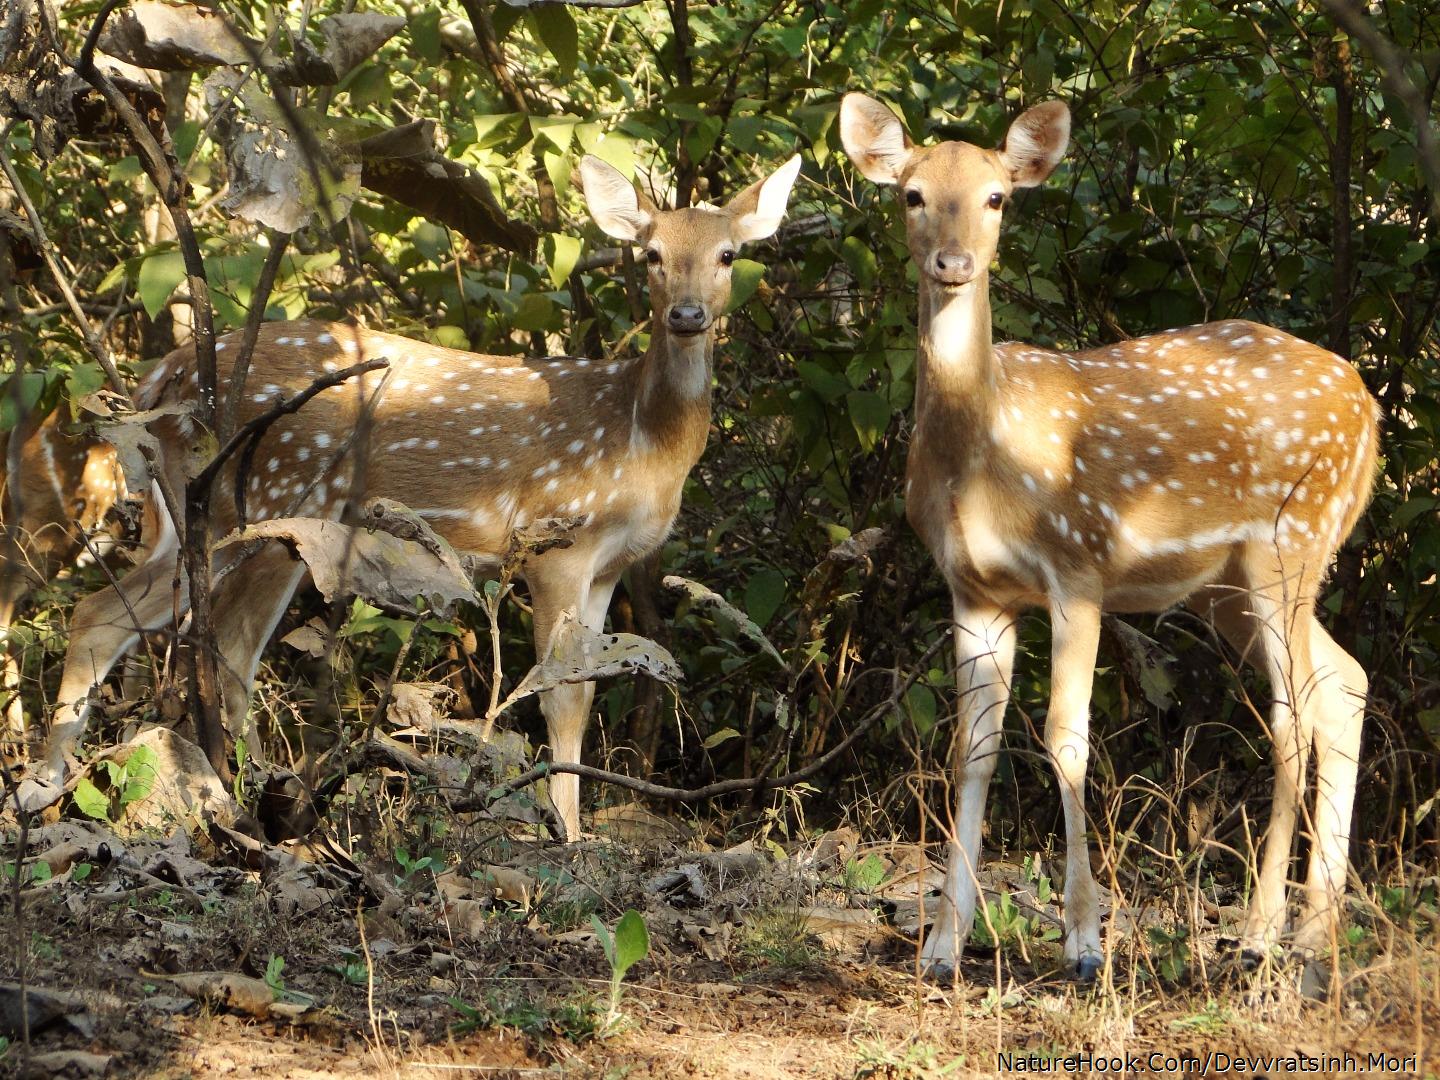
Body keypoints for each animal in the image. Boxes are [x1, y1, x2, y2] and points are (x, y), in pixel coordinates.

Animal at [22, 150, 806, 835]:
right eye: (650, 254)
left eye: (728, 254)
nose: (687, 315)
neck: (641, 442)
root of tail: (162, 377)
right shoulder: (555, 539)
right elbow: (559, 696)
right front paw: (564, 834)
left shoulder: (609, 565)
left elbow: (586, 689)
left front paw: (579, 829)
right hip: (267, 497)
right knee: (187, 634)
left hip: (213, 513)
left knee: (151, 625)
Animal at [840, 92, 1376, 979]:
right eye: (912, 196)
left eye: (997, 197)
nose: (953, 262)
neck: (984, 458)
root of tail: (1370, 407)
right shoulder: (974, 590)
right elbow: (969, 751)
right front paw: (942, 948)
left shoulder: (1079, 566)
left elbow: (1067, 742)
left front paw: (1086, 943)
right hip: (1231, 580)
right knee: (1347, 685)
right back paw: (1312, 936)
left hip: (1291, 537)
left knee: (1293, 716)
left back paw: (1260, 933)